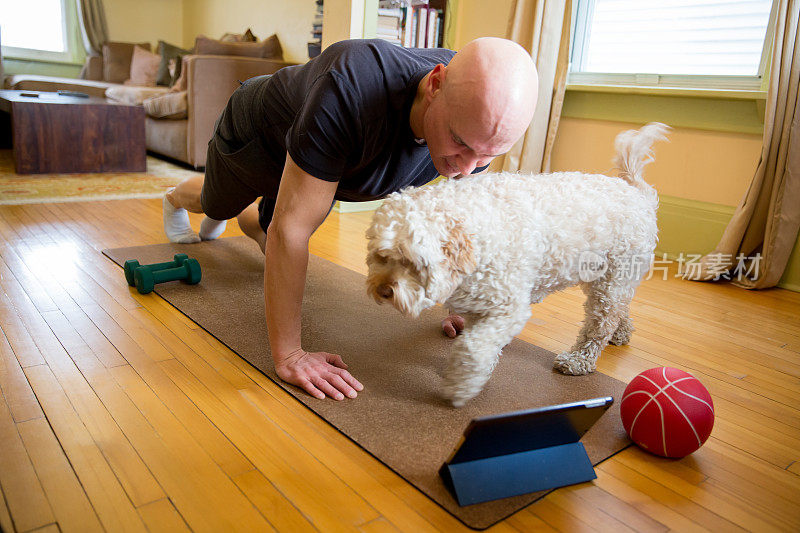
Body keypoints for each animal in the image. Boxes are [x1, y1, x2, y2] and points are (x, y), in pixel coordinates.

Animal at [368, 122, 668, 406]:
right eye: (382, 256)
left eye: (413, 263)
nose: (383, 291)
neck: (475, 228)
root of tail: (637, 193)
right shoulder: (480, 306)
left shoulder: (508, 307)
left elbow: (472, 349)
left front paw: (458, 388)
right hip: (607, 277)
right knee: (620, 308)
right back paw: (621, 333)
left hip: (613, 278)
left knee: (600, 324)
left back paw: (579, 360)